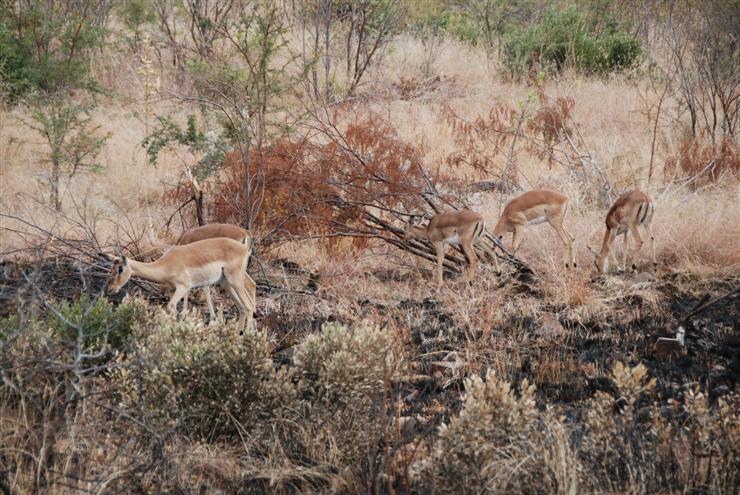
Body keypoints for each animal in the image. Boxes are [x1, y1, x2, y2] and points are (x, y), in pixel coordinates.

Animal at [102, 237, 256, 331]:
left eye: (120, 269)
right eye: (111, 269)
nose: (110, 289)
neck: (166, 263)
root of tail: (244, 248)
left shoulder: (184, 287)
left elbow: (171, 306)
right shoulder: (173, 290)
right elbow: (175, 309)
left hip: (235, 281)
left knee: (249, 306)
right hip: (226, 284)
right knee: (242, 307)